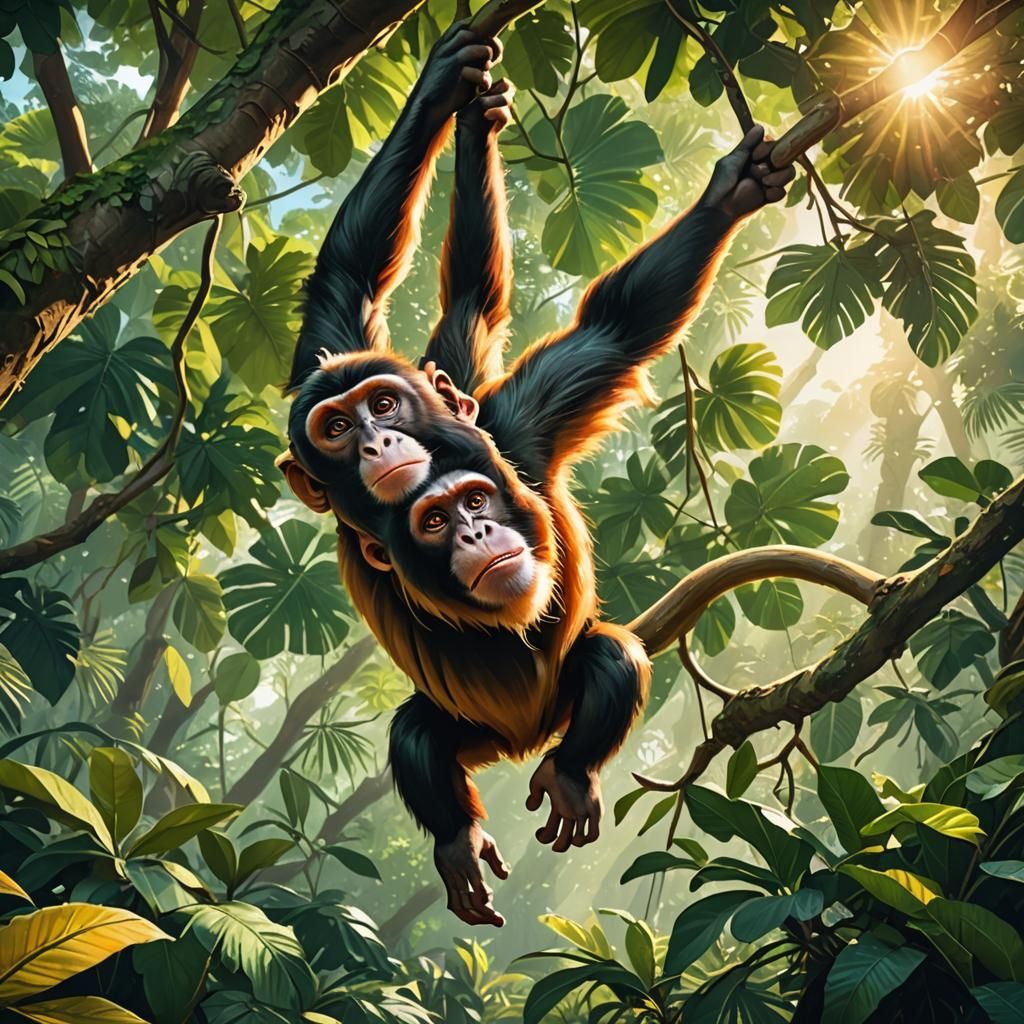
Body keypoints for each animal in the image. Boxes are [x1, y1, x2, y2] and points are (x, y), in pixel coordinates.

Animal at [279, 23, 796, 927]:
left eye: (382, 403)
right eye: (336, 428)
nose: (377, 442)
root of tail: (521, 742)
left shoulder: (522, 421)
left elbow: (614, 324)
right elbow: (353, 286)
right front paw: (451, 98)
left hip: (554, 710)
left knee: (611, 656)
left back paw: (570, 772)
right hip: (472, 731)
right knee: (417, 733)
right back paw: (458, 841)